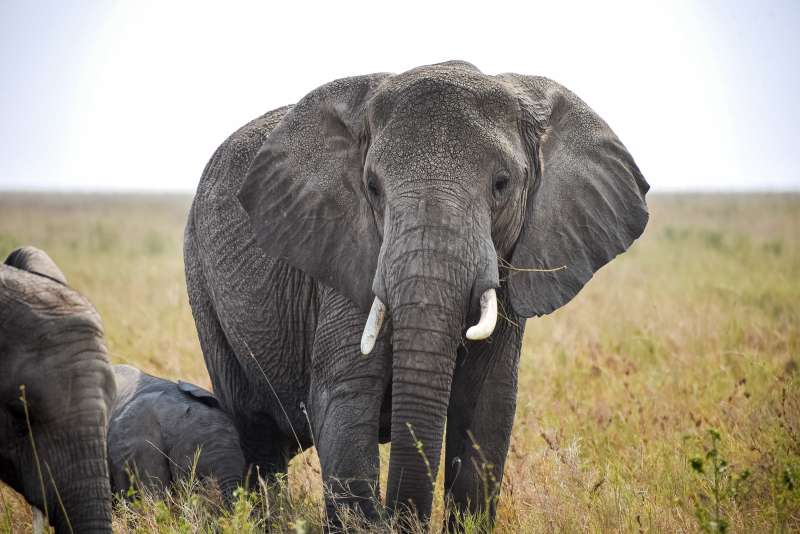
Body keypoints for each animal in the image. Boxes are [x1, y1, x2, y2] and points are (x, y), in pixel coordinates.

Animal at [183, 60, 649, 529]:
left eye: (501, 184)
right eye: (372, 187)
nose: (397, 518)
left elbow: (487, 408)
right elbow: (346, 396)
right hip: (200, 276)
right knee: (256, 434)